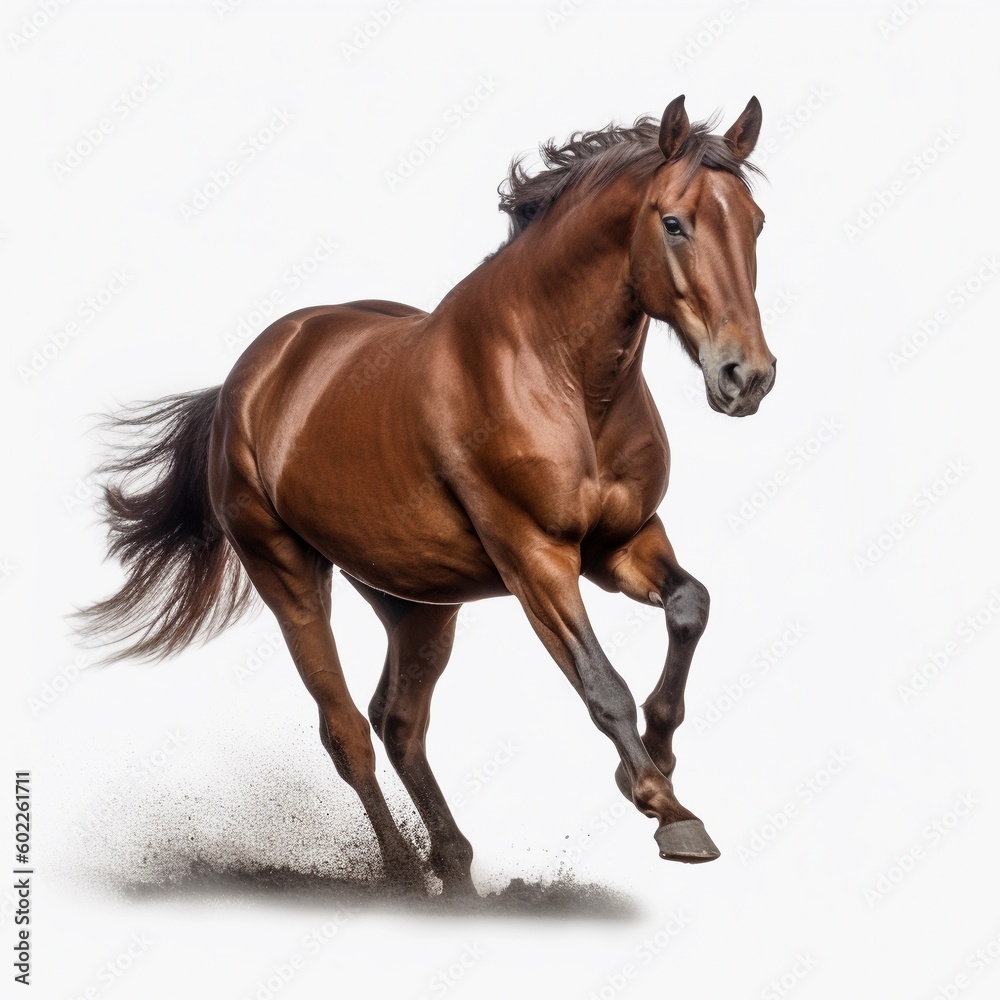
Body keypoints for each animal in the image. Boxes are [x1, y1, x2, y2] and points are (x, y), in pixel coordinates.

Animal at [77, 95, 776, 895]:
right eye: (674, 223)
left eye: (756, 221)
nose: (746, 376)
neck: (561, 375)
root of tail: (243, 380)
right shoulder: (535, 556)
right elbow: (603, 686)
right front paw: (669, 811)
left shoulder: (623, 541)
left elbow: (691, 606)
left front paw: (657, 756)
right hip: (286, 572)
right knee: (347, 729)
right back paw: (404, 874)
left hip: (417, 602)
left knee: (399, 722)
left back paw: (456, 872)